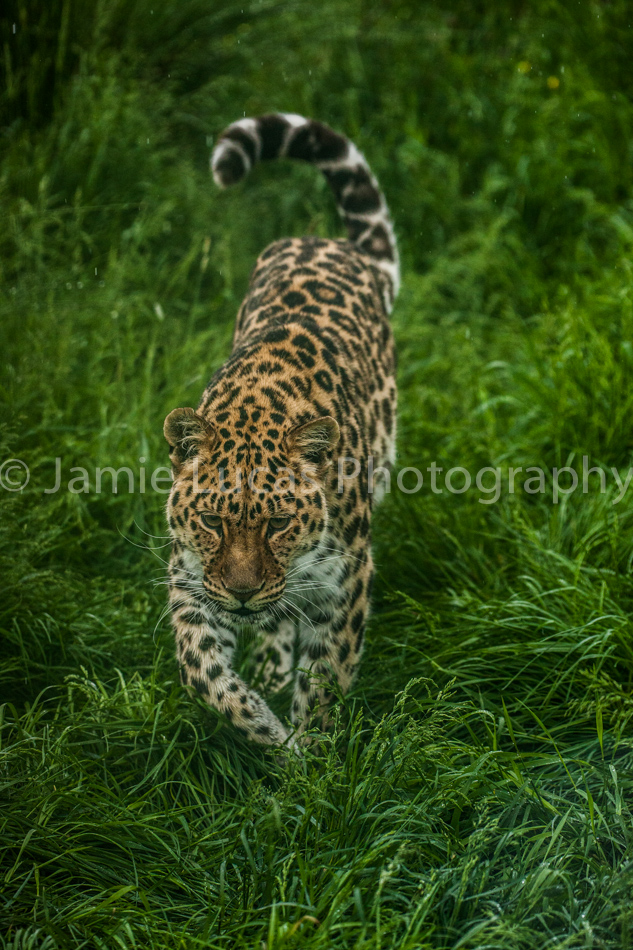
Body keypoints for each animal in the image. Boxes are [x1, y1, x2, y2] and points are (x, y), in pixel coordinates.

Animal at [163, 113, 399, 747]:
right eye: (213, 522)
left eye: (278, 524)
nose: (243, 594)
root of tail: (330, 241)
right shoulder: (190, 577)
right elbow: (200, 670)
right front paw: (265, 728)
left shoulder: (346, 581)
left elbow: (325, 679)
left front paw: (312, 752)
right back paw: (269, 667)